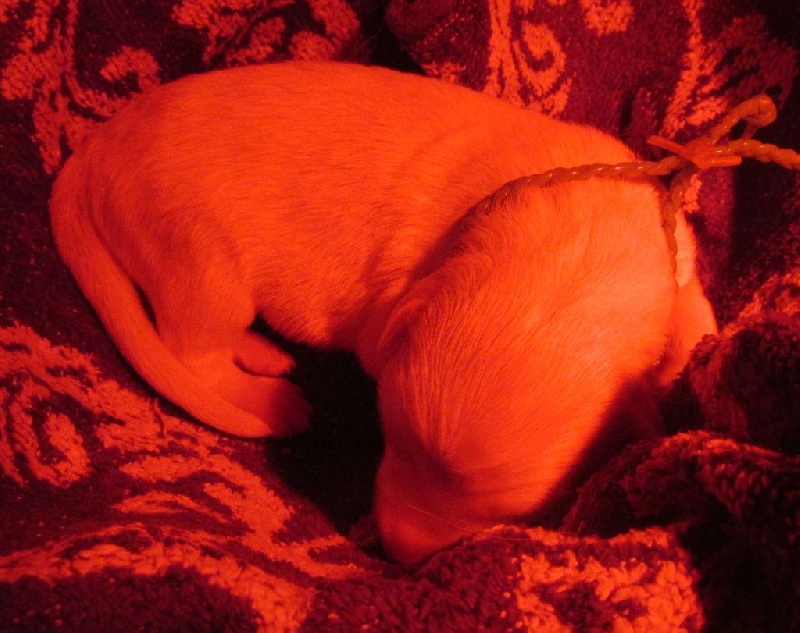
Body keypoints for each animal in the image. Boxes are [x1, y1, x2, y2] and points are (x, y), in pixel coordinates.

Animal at [49, 61, 717, 565]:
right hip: (200, 263)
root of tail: (94, 150)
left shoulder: (668, 247)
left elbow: (689, 300)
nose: (394, 550)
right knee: (194, 353)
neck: (574, 233)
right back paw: (273, 401)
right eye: (388, 432)